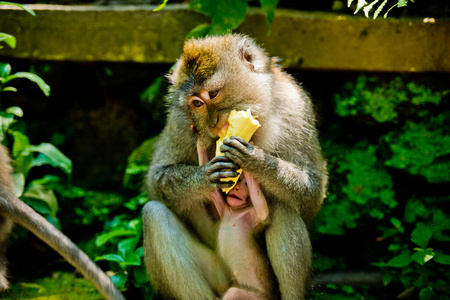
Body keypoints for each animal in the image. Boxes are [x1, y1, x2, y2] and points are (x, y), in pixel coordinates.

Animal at [143, 34, 326, 298]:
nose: (212, 123)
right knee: (153, 215)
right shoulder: (180, 119)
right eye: (197, 103)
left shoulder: (296, 108)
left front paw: (256, 160)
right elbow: (156, 180)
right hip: (221, 276)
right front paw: (204, 176)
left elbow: (312, 193)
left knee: (284, 209)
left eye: (213, 93)